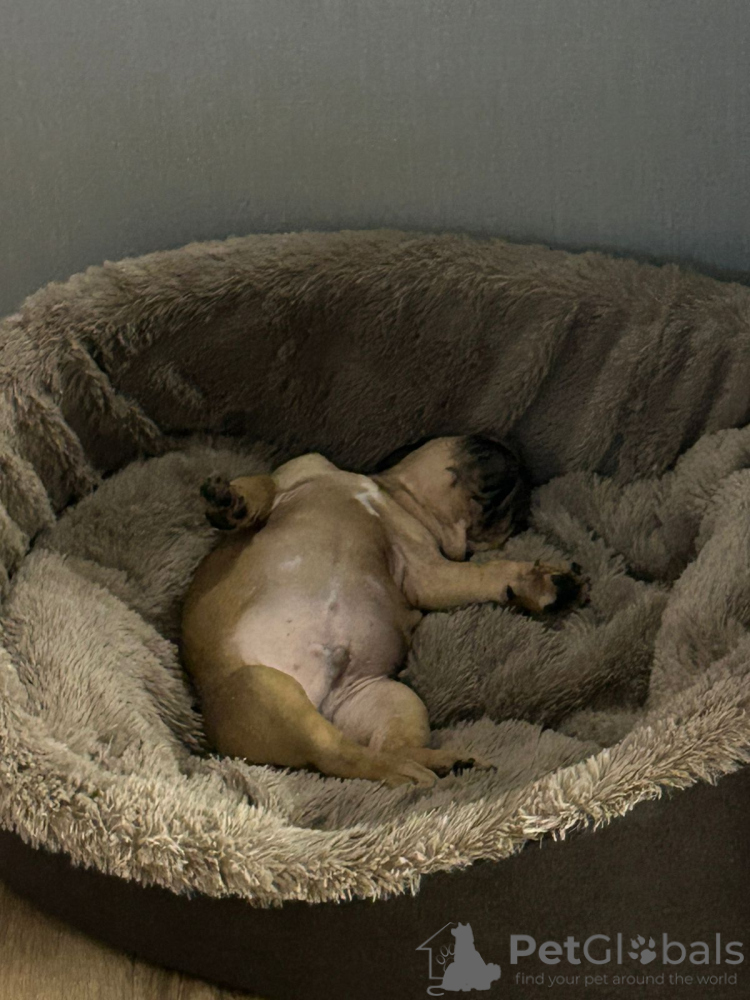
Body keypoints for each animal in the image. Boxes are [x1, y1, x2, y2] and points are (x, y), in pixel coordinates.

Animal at [181, 435, 588, 788]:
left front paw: (537, 583)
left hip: (389, 700)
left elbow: (485, 573)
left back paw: (442, 763)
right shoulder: (297, 472)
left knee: (377, 750)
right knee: (338, 754)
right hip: (266, 686)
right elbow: (262, 486)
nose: (522, 466)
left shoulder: (426, 569)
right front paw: (231, 501)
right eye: (483, 444)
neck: (392, 497)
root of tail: (321, 701)